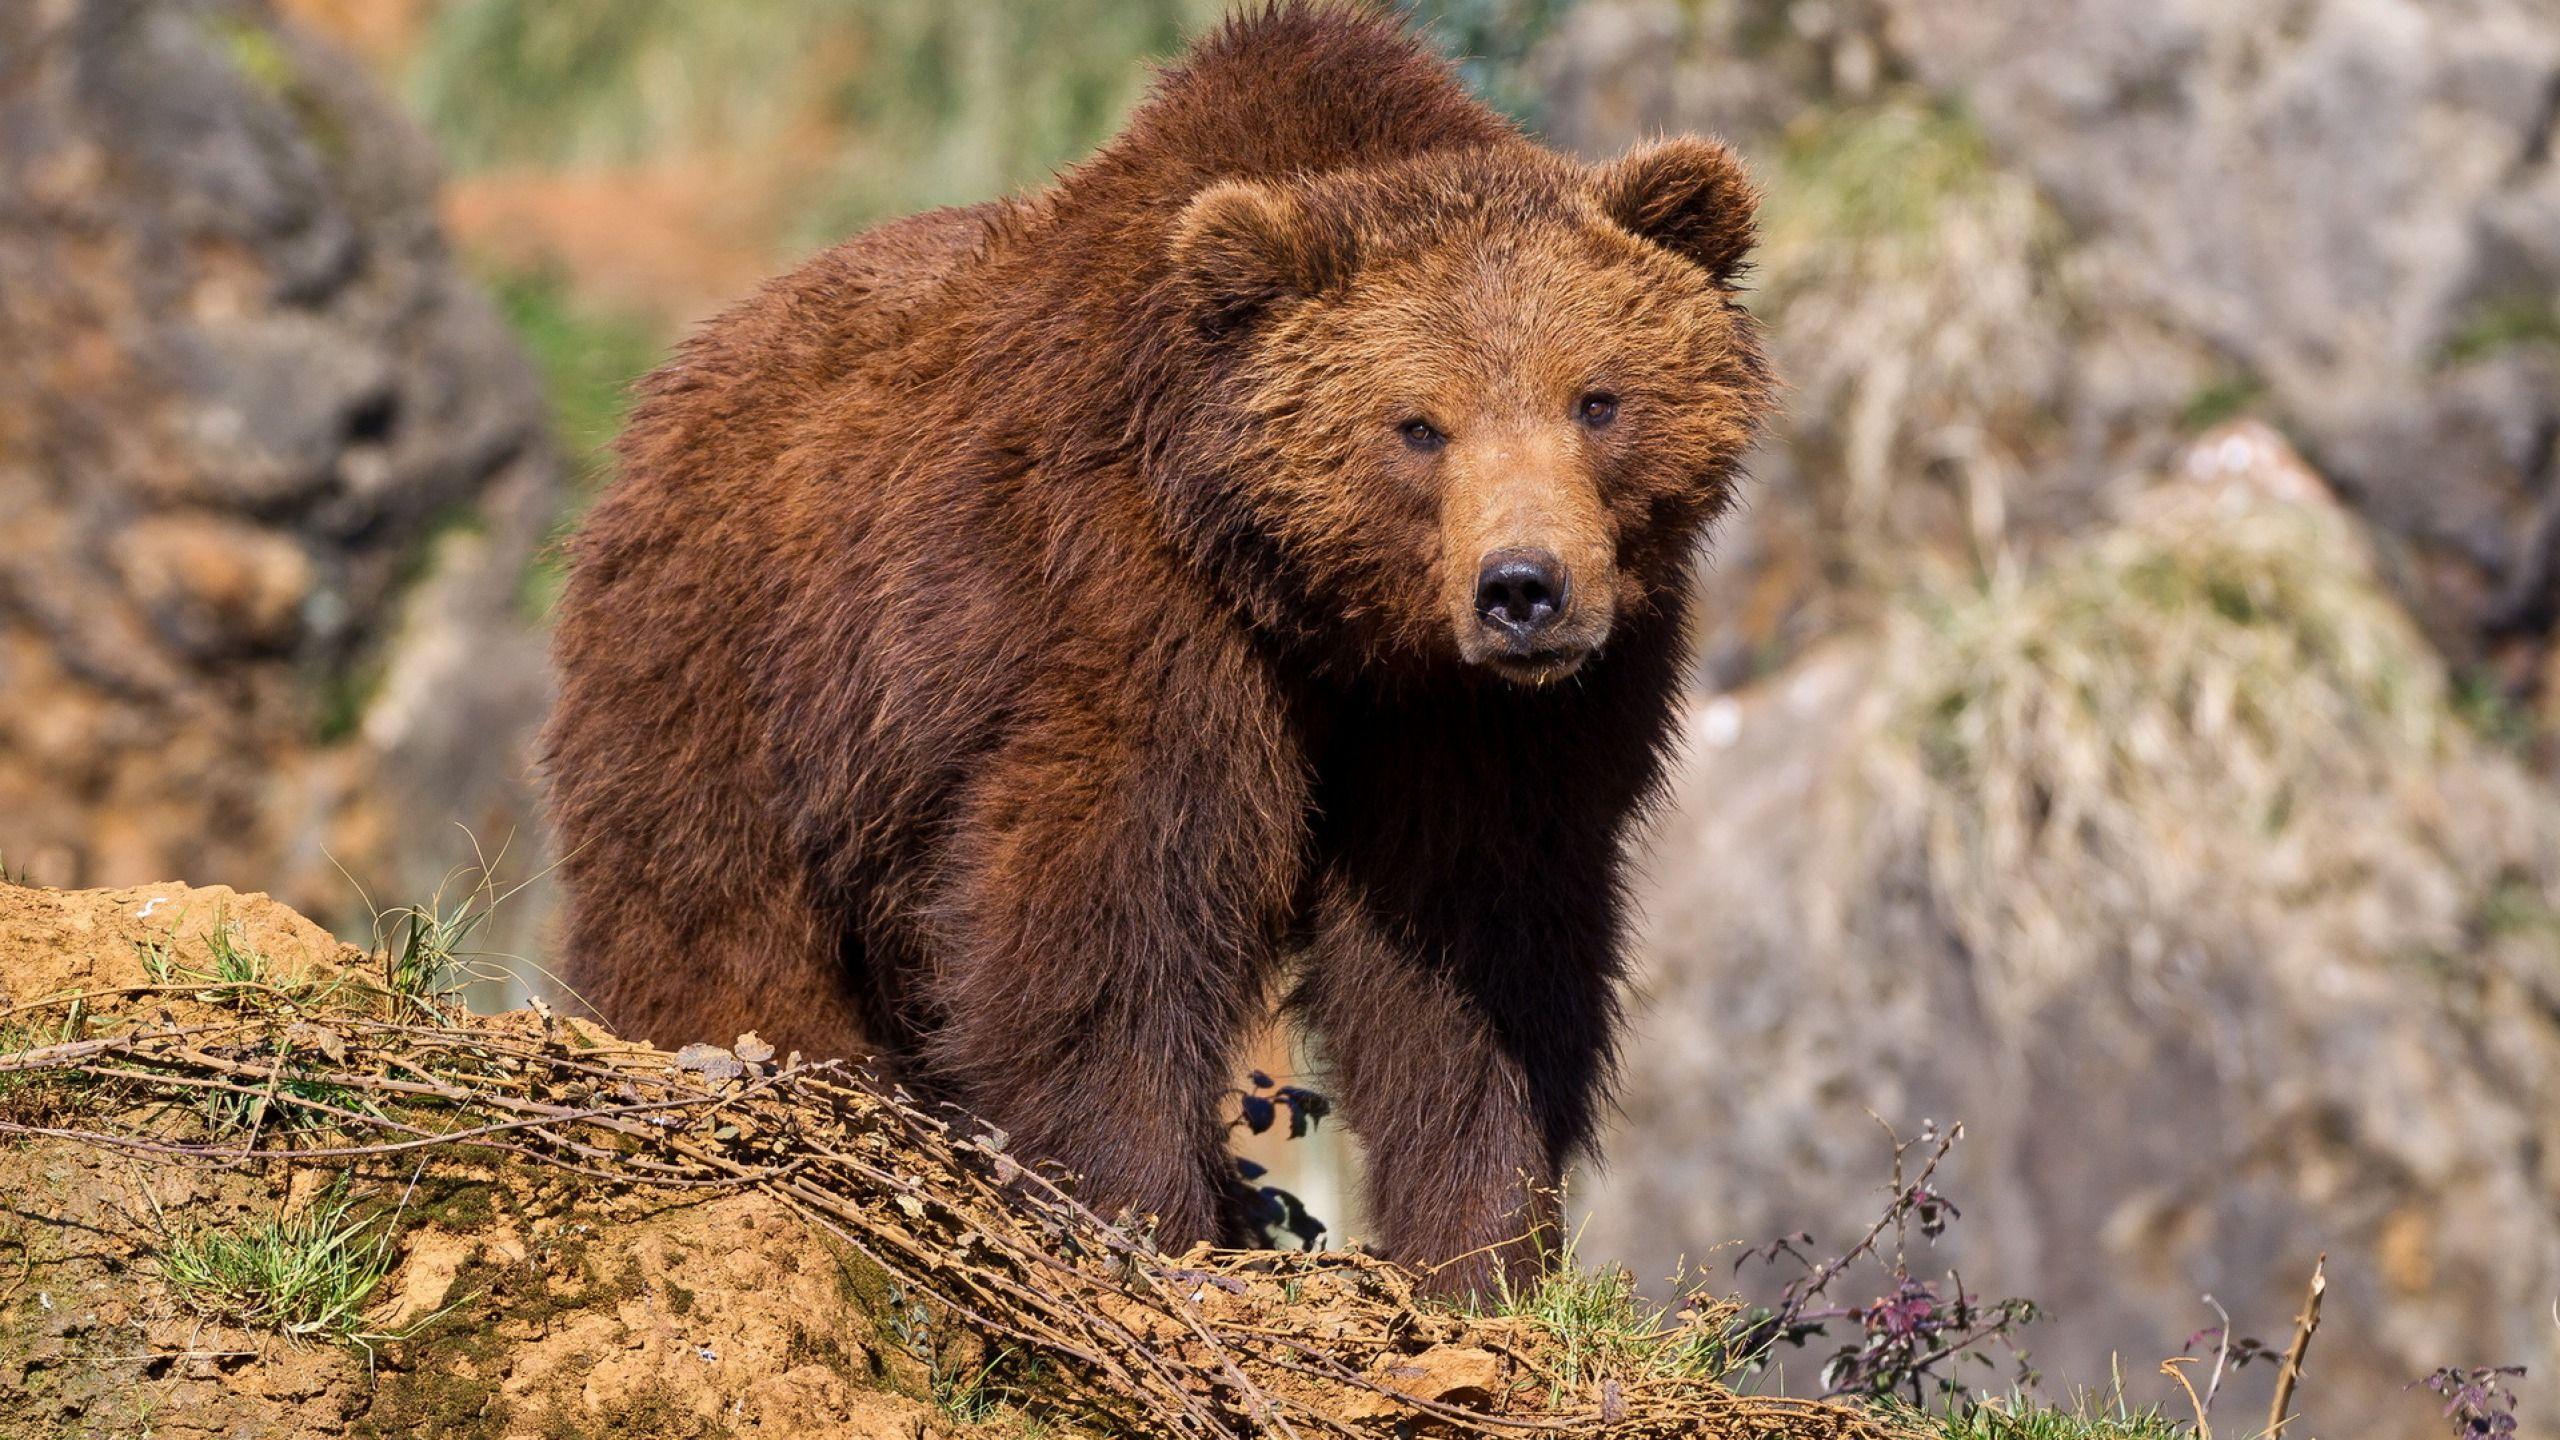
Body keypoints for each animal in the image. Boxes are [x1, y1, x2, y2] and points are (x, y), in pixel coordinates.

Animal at [545, 0, 1761, 1291]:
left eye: (1598, 399)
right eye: (1417, 426)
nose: (1523, 590)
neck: (1333, 619)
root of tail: (675, 378)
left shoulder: (1497, 719)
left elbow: (1474, 952)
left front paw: (1480, 1250)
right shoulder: (1128, 603)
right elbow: (1107, 908)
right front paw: (1152, 1213)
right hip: (736, 660)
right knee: (710, 903)